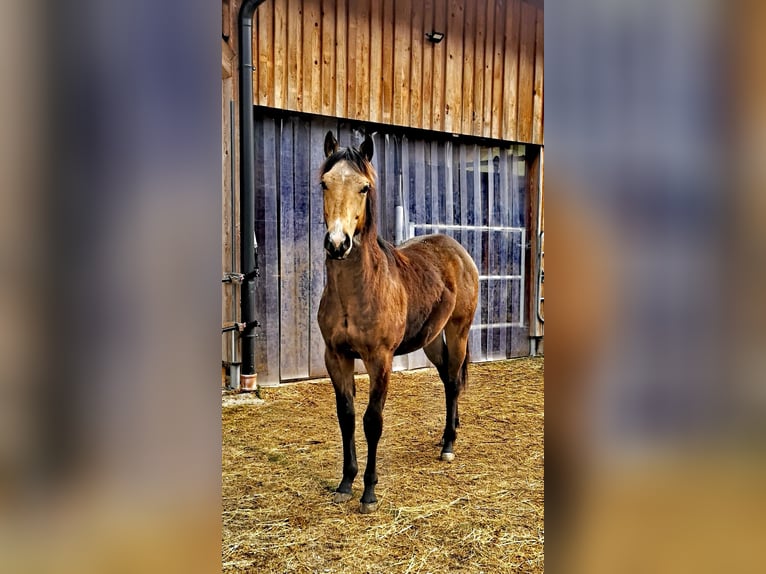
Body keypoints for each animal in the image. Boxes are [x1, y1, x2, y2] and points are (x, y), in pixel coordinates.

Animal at [317, 131, 480, 513]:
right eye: (324, 183)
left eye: (364, 187)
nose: (338, 243)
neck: (359, 291)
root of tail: (457, 250)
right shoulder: (336, 357)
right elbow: (346, 416)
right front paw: (345, 482)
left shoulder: (380, 360)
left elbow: (372, 421)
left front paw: (369, 492)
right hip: (432, 340)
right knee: (447, 380)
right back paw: (448, 430)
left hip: (459, 331)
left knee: (453, 382)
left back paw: (448, 445)